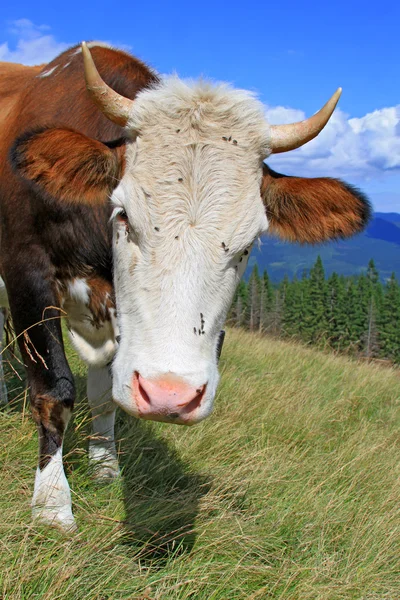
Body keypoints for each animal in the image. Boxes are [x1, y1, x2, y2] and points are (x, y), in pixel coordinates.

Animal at [0, 41, 370, 528]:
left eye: (250, 242)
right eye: (123, 214)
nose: (169, 396)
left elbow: (104, 394)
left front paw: (105, 465)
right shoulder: (26, 270)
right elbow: (54, 387)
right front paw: (51, 504)